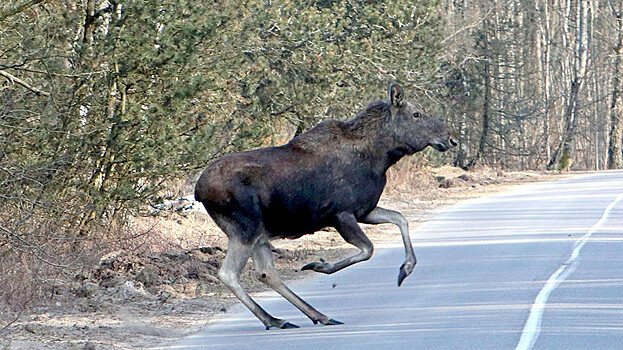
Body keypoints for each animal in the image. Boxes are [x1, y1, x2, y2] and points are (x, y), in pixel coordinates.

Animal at [195, 81, 458, 328]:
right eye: (416, 114)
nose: (452, 139)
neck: (382, 158)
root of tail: (198, 191)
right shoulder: (341, 214)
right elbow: (368, 249)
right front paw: (320, 266)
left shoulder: (365, 211)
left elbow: (401, 219)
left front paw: (406, 268)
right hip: (245, 228)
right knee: (229, 273)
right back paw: (276, 318)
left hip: (259, 231)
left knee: (266, 272)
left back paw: (305, 317)